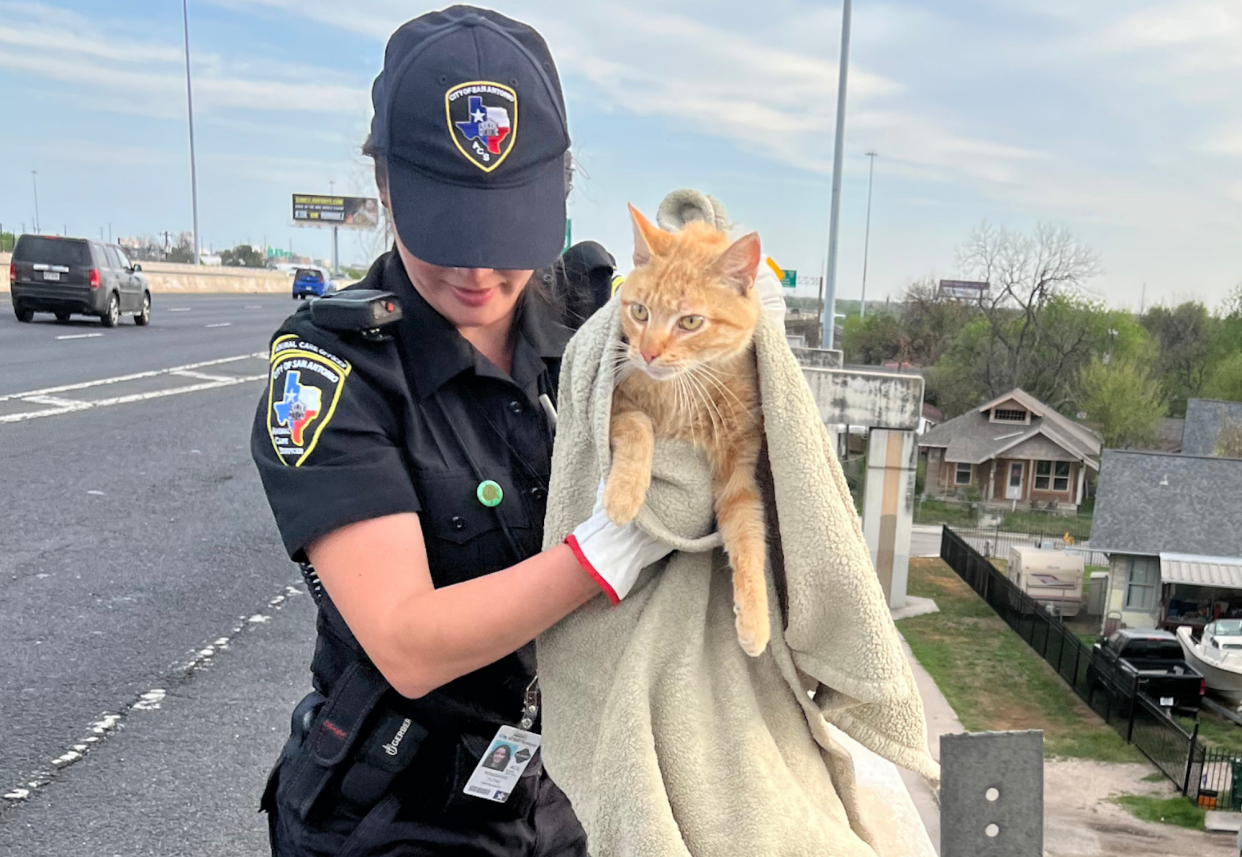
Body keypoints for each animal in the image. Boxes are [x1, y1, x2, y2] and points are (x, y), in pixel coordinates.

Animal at [601, 204, 765, 655]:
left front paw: (756, 618)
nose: (647, 353)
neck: (683, 391)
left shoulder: (739, 468)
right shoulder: (617, 403)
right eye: (640, 311)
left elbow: (748, 535)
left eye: (690, 321)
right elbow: (639, 423)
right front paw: (623, 495)